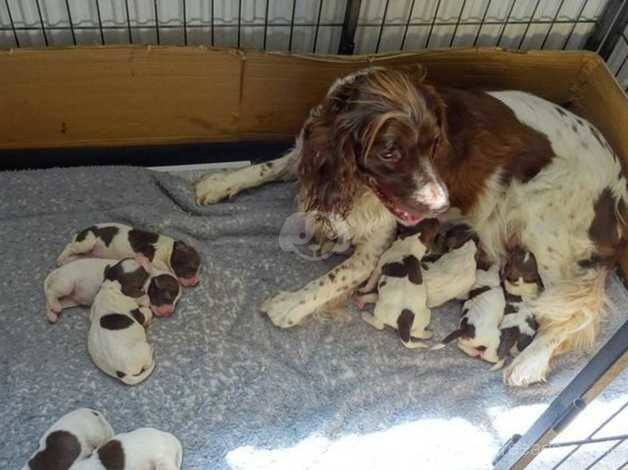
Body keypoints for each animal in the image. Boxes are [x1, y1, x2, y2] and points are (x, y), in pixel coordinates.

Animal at [56, 223, 200, 286]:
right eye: (191, 269)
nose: (197, 281)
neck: (170, 249)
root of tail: (80, 233)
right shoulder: (153, 256)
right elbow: (164, 266)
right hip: (87, 242)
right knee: (69, 246)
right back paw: (60, 259)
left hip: (86, 253)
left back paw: (65, 261)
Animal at [356, 218, 440, 346]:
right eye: (426, 219)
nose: (437, 219)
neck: (412, 241)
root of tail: (403, 322)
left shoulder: (378, 269)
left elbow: (370, 283)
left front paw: (363, 289)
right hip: (426, 313)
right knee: (416, 333)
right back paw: (427, 334)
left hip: (380, 311)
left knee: (379, 325)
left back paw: (366, 315)